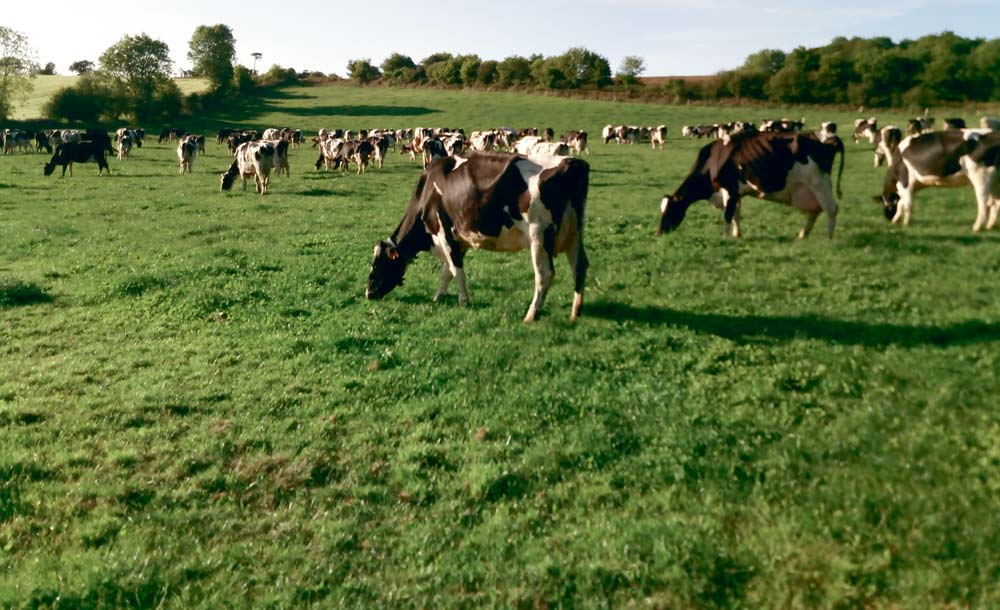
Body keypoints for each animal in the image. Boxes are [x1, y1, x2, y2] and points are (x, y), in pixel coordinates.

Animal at [366, 151, 584, 324]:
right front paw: (439, 296)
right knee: (579, 268)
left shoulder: (444, 234)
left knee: (544, 274)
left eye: (378, 264)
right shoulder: (458, 241)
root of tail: (572, 161)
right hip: (575, 234)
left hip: (539, 235)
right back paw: (575, 313)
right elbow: (447, 271)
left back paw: (531, 315)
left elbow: (456, 269)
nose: (368, 293)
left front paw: (463, 300)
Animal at [660, 131, 848, 238]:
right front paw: (737, 234)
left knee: (831, 209)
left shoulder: (729, 189)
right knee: (814, 211)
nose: (659, 232)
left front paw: (725, 236)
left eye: (670, 210)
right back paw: (803, 235)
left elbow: (728, 214)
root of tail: (826, 143)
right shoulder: (734, 193)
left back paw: (829, 237)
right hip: (807, 189)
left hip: (819, 183)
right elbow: (736, 214)